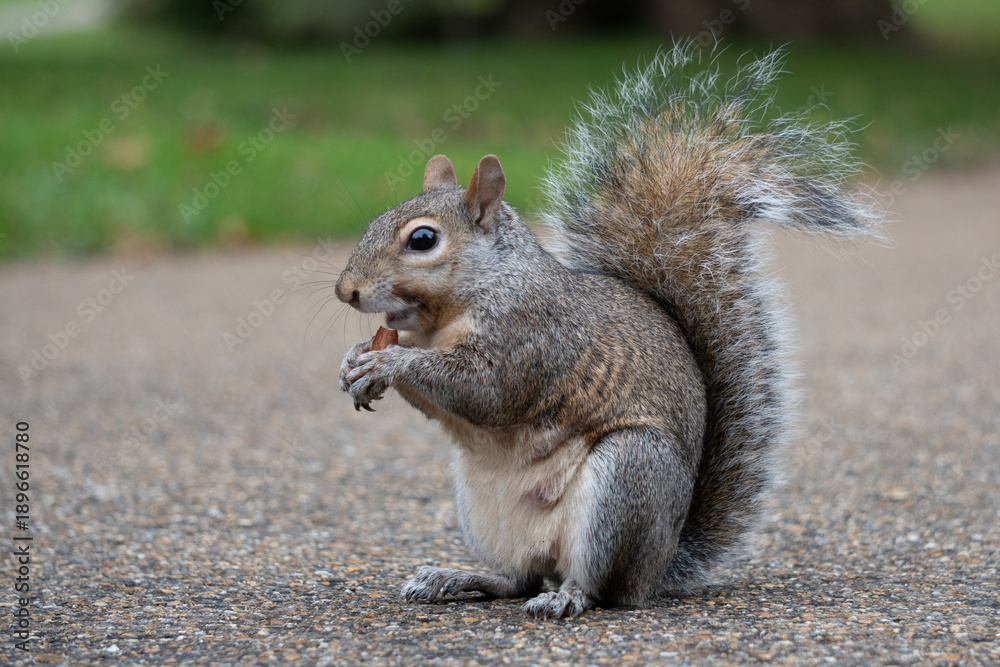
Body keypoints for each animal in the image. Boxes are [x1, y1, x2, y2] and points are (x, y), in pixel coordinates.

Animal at [335, 44, 881, 619]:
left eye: (422, 239)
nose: (346, 290)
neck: (453, 313)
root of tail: (659, 566)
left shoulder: (533, 339)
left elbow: (485, 390)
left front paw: (388, 362)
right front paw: (354, 362)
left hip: (625, 479)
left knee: (597, 587)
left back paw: (566, 597)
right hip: (483, 510)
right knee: (518, 578)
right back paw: (455, 577)